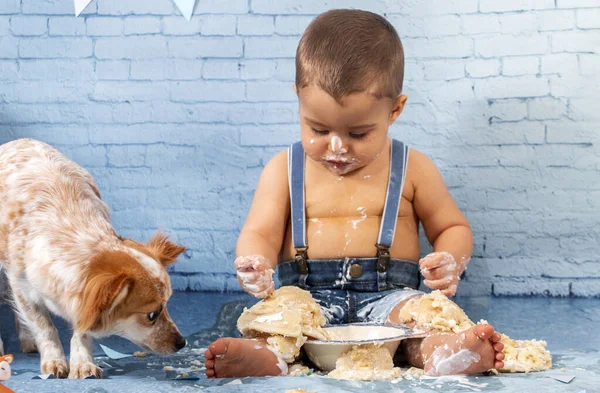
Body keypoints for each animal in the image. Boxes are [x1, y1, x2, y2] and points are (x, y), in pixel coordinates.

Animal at [0, 139, 188, 378]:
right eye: (152, 315)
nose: (182, 342)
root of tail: (18, 141)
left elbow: (82, 331)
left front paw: (83, 363)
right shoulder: (23, 288)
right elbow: (44, 327)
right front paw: (54, 360)